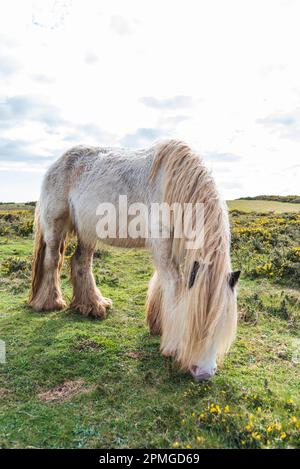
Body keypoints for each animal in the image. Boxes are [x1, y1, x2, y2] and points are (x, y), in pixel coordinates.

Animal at [28, 139, 239, 380]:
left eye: (223, 324)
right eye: (194, 324)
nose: (203, 373)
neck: (174, 183)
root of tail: (58, 161)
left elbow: (164, 284)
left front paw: (158, 325)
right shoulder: (162, 246)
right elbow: (174, 287)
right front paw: (173, 346)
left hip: (87, 232)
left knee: (80, 262)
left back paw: (93, 305)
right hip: (56, 226)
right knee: (52, 262)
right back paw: (50, 303)